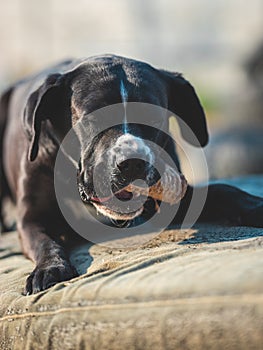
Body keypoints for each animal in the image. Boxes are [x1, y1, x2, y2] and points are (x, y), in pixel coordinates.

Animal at [1, 55, 263, 296]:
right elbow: (46, 241)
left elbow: (222, 190)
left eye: (153, 118)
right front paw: (51, 267)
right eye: (93, 118)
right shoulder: (32, 218)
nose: (133, 163)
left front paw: (255, 206)